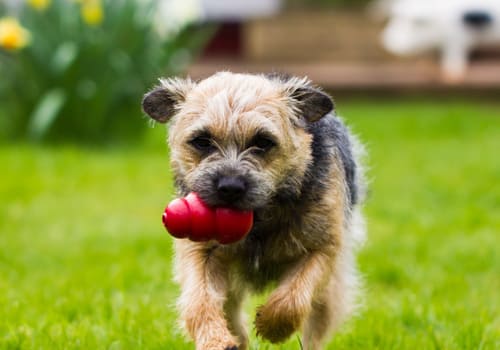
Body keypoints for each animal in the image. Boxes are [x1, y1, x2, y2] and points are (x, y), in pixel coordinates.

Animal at [143, 72, 366, 350]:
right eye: (202, 141)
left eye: (263, 142)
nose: (230, 187)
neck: (260, 221)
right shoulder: (200, 252)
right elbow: (199, 301)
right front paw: (216, 340)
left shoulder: (322, 249)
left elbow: (293, 299)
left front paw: (273, 327)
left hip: (330, 291)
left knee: (316, 327)